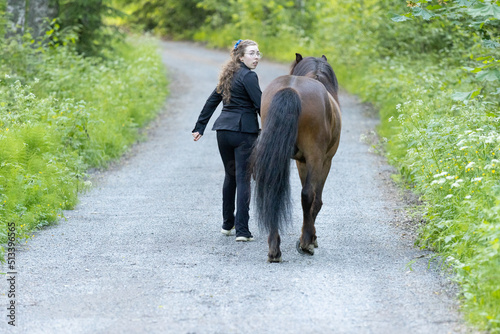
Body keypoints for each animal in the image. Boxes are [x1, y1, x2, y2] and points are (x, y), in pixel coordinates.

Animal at [252, 52, 342, 260]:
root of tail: (291, 89)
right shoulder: (323, 161)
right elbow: (315, 200)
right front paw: (311, 238)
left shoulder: (301, 162)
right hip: (315, 157)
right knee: (308, 195)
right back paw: (306, 243)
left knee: (273, 190)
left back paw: (274, 248)